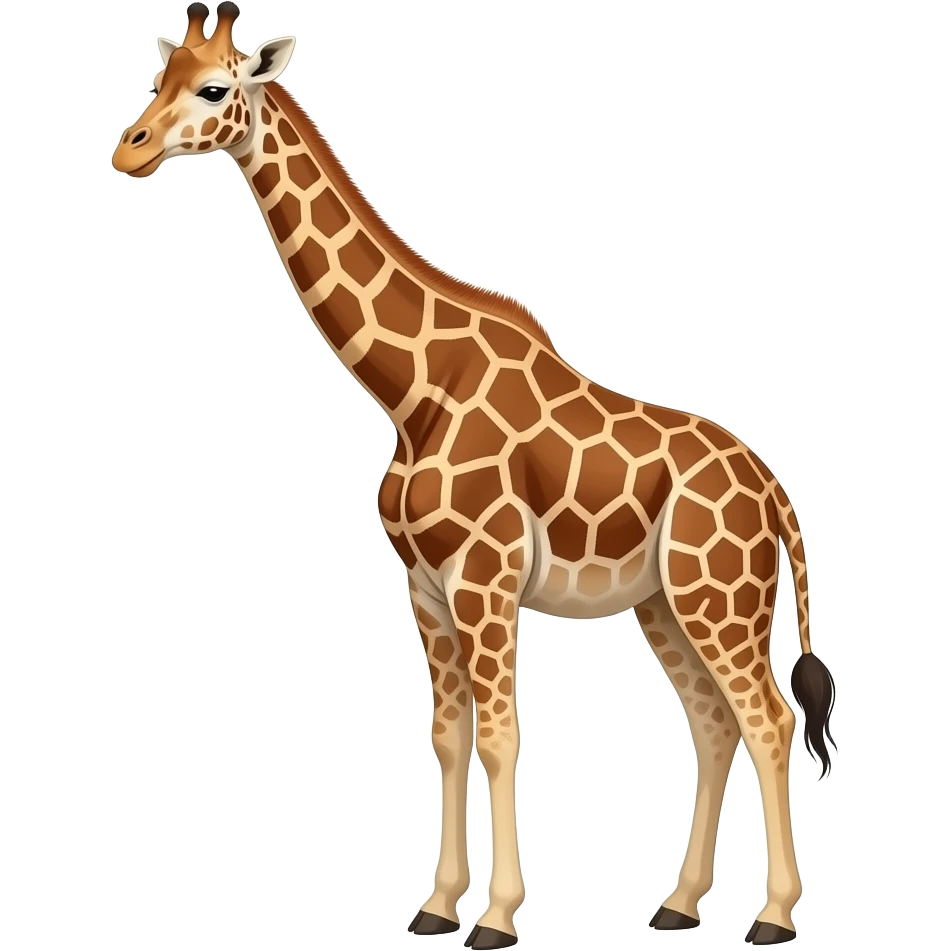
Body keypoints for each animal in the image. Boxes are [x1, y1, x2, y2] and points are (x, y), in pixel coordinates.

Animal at [111, 4, 838, 946]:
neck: (409, 393)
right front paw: (434, 904)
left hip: (719, 595)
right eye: (158, 78)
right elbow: (447, 737)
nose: (128, 150)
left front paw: (494, 916)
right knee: (714, 724)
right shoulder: (423, 585)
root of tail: (775, 493)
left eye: (212, 88)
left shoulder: (485, 578)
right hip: (664, 602)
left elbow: (499, 736)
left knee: (768, 717)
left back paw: (773, 917)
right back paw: (678, 906)